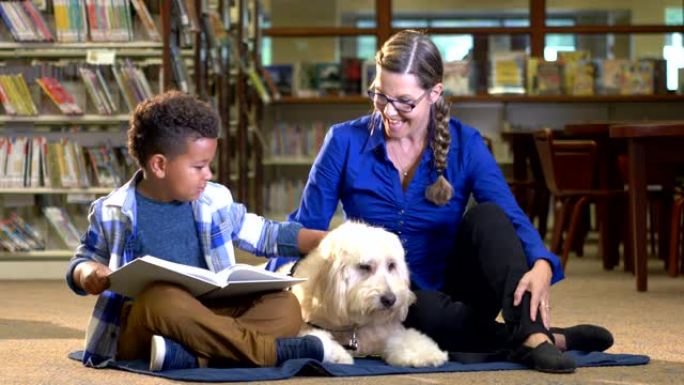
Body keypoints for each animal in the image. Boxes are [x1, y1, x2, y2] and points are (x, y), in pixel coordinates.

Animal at [284, 220, 448, 364]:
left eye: (391, 265)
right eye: (364, 267)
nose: (390, 299)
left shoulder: (387, 332)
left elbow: (405, 339)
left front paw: (428, 353)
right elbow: (317, 339)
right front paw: (338, 354)